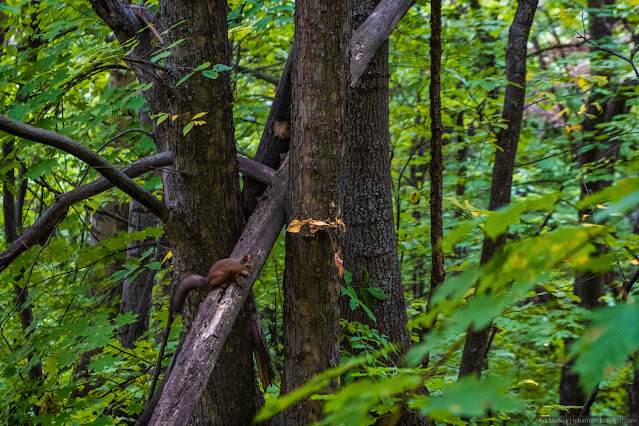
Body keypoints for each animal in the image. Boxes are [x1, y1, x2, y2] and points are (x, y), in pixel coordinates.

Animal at [147, 255, 252, 402]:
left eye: (251, 263)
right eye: (247, 264)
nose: (250, 269)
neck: (237, 264)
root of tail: (207, 278)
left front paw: (244, 274)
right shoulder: (231, 271)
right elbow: (234, 277)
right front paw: (238, 281)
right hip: (221, 275)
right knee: (212, 285)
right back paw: (221, 284)